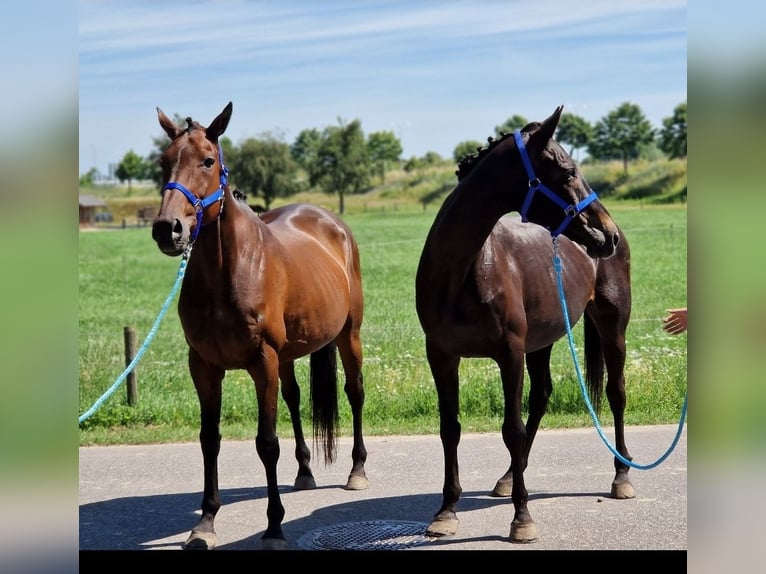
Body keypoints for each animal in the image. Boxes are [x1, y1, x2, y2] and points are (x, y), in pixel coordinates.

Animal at [151, 102, 369, 550]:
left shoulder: (261, 362)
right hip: (287, 356)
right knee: (295, 398)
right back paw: (304, 472)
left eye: (208, 160)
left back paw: (357, 471)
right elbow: (209, 439)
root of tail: (330, 221)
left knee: (355, 392)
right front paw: (205, 522)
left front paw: (273, 526)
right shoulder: (204, 366)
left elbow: (266, 443)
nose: (168, 228)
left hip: (347, 336)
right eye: (163, 162)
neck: (227, 273)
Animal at [415, 106, 633, 544]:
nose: (608, 235)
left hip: (611, 326)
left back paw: (622, 476)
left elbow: (510, 429)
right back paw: (508, 477)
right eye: (567, 171)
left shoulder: (509, 354)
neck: (462, 272)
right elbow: (450, 428)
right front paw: (446, 511)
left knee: (616, 394)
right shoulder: (442, 356)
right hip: (542, 341)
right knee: (543, 395)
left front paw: (522, 517)